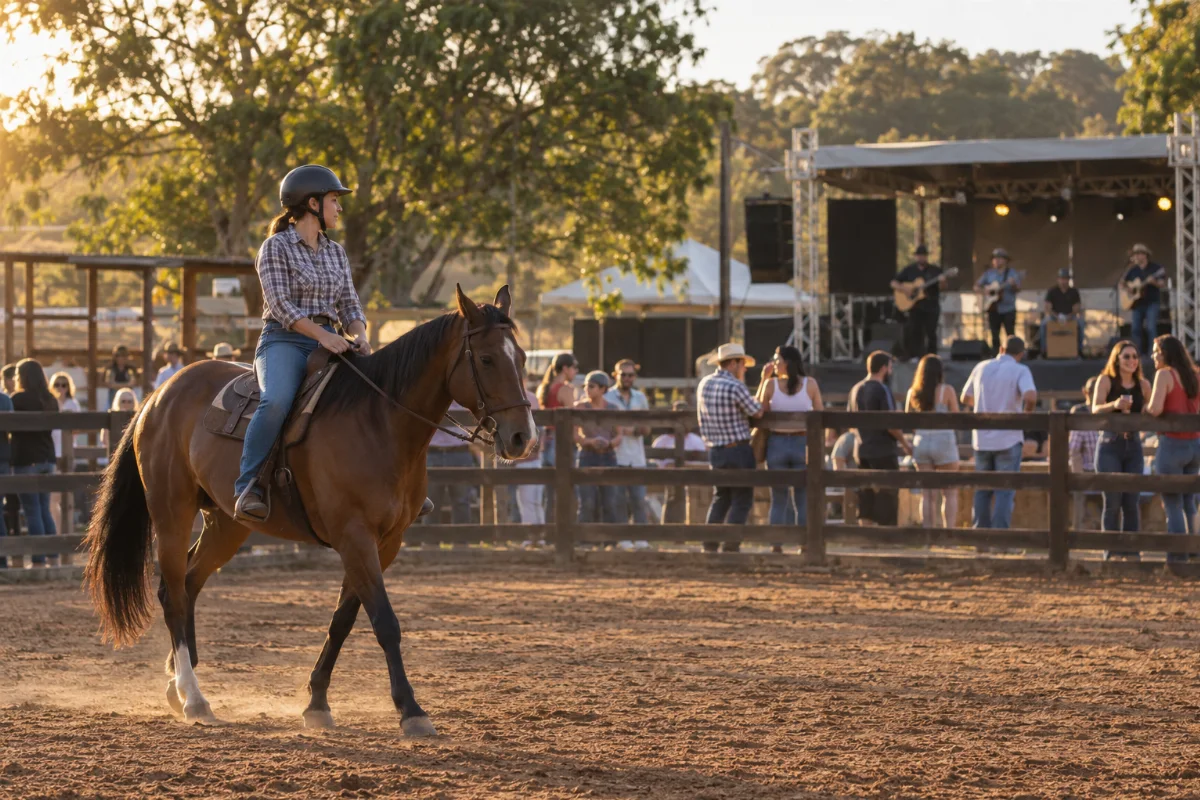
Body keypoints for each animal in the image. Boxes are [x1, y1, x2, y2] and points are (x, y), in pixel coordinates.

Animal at [82, 285, 536, 736]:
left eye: (523, 358)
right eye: (487, 358)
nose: (522, 438)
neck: (379, 423)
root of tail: (158, 397)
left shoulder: (385, 543)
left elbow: (343, 621)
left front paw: (317, 703)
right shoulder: (354, 538)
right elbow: (385, 622)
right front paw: (411, 710)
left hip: (227, 524)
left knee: (190, 583)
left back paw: (177, 684)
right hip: (171, 512)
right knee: (174, 593)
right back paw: (194, 698)